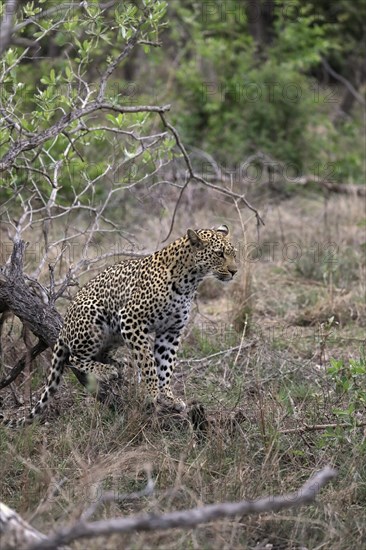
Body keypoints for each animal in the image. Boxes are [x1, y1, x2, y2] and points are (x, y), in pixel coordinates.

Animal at [1, 224, 237, 426]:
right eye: (219, 254)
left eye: (234, 253)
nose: (234, 271)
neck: (190, 280)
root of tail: (64, 327)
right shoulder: (131, 319)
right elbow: (148, 361)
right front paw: (153, 394)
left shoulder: (170, 331)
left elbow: (166, 365)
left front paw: (168, 397)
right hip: (94, 318)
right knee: (73, 358)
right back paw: (107, 371)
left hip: (113, 335)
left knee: (97, 355)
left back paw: (117, 364)